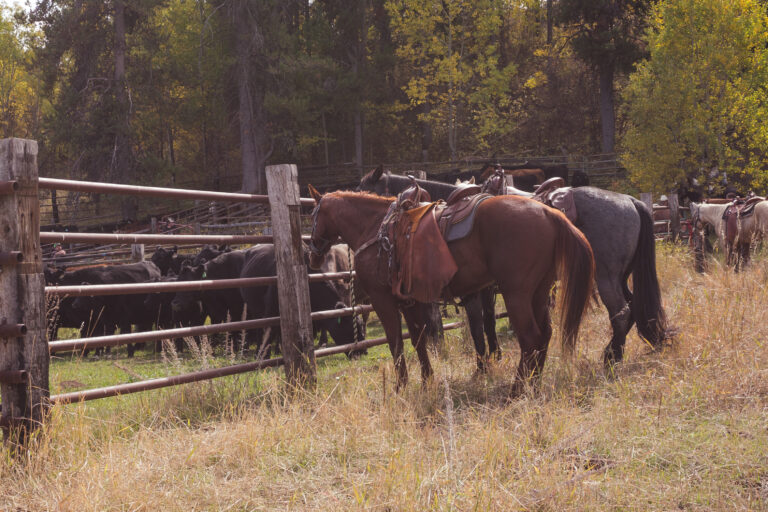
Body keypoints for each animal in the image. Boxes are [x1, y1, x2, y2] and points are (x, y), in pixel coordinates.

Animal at [307, 187, 595, 393]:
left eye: (312, 216)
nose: (313, 255)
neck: (376, 229)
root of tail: (549, 213)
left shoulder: (383, 301)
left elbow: (396, 343)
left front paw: (400, 387)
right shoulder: (410, 302)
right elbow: (419, 340)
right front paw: (427, 381)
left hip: (517, 295)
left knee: (530, 338)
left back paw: (517, 389)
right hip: (538, 292)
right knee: (544, 335)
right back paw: (533, 384)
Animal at [360, 168, 670, 365]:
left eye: (365, 188)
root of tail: (629, 200)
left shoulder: (481, 288)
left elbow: (481, 325)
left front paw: (486, 362)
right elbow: (486, 322)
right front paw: (493, 356)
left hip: (606, 278)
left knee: (621, 313)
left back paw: (610, 357)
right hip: (620, 276)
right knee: (635, 307)